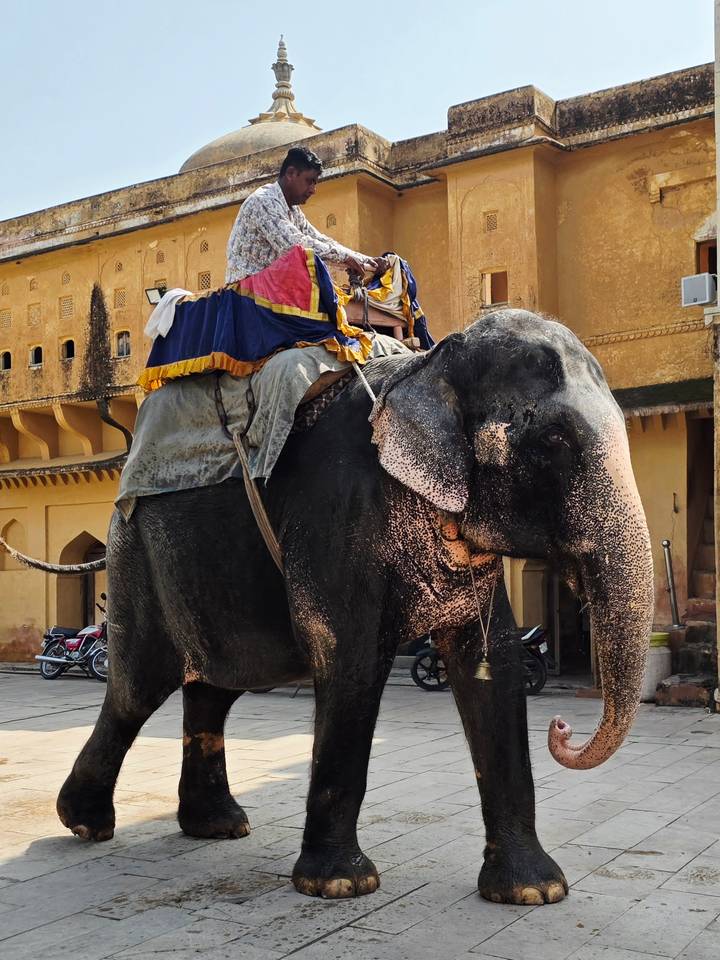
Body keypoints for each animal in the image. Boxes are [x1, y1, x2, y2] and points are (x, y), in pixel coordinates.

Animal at [53, 308, 654, 905]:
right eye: (555, 439)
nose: (562, 728)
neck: (426, 369)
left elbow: (494, 664)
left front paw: (535, 891)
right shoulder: (338, 513)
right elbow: (353, 659)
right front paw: (340, 884)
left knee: (216, 687)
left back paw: (217, 826)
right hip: (138, 558)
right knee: (138, 688)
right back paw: (85, 823)